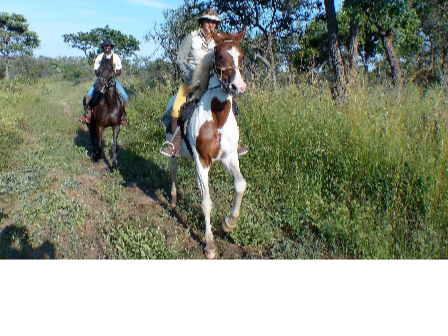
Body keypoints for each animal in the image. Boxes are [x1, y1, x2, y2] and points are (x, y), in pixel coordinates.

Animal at [165, 29, 248, 260]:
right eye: (219, 55)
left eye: (241, 56)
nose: (238, 87)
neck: (216, 118)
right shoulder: (201, 162)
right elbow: (206, 203)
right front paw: (210, 244)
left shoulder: (230, 158)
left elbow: (240, 185)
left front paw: (229, 224)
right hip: (173, 153)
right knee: (173, 170)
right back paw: (173, 200)